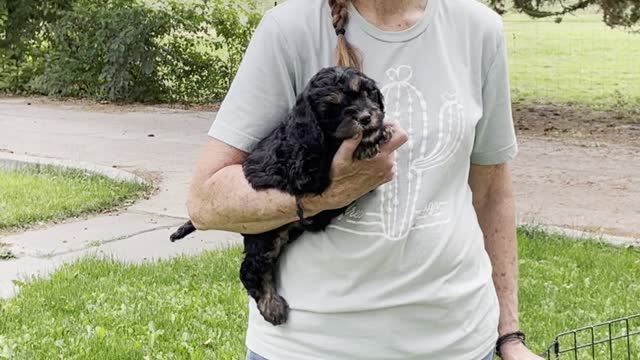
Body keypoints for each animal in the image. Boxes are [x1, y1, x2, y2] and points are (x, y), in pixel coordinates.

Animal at [169, 66, 390, 324]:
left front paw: (379, 133)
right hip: (265, 237)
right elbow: (328, 150)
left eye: (366, 92)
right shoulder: (304, 170)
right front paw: (367, 142)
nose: (365, 117)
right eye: (333, 107)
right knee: (250, 270)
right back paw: (271, 305)